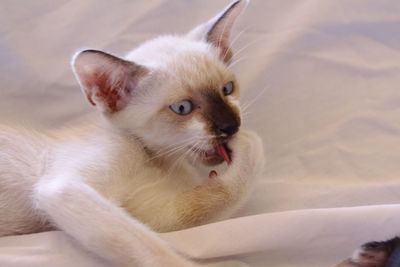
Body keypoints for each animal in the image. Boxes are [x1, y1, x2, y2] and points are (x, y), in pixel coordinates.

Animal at [0, 1, 266, 266]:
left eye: (227, 89)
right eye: (183, 108)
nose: (231, 126)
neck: (158, 161)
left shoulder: (149, 214)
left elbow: (206, 203)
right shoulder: (66, 189)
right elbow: (153, 249)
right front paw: (249, 143)